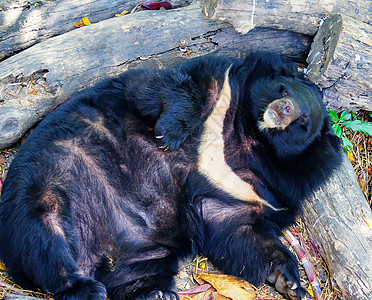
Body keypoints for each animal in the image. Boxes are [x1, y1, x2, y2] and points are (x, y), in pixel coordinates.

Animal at [0, 52, 340, 298]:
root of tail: (92, 254)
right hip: (47, 177)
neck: (247, 137)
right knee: (44, 235)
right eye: (283, 88)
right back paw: (83, 287)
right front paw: (169, 134)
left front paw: (291, 282)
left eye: (304, 122)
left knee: (136, 271)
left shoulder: (250, 188)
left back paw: (155, 294)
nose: (283, 108)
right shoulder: (222, 84)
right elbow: (165, 87)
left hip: (145, 247)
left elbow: (238, 231)